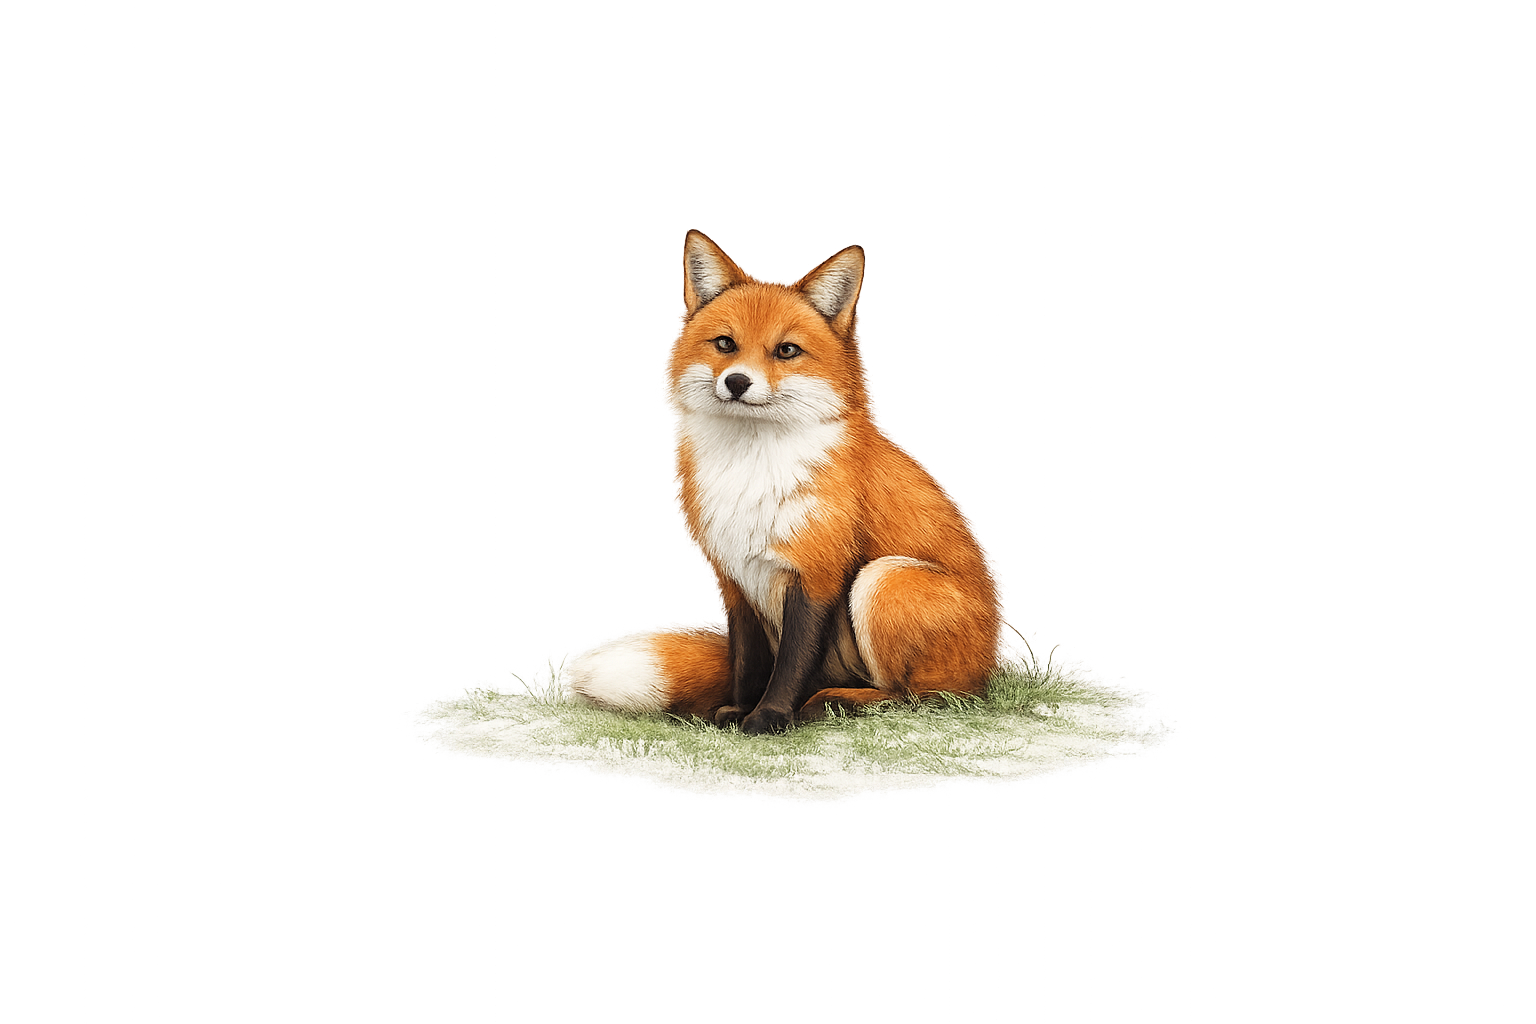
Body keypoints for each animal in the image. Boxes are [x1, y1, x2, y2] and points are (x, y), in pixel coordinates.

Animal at [566, 230, 999, 735]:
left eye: (786, 350)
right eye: (725, 344)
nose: (737, 382)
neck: (750, 471)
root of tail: (987, 670)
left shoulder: (817, 573)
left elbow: (792, 661)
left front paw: (769, 717)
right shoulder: (734, 576)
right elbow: (748, 659)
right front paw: (738, 710)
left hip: (885, 580)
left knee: (914, 697)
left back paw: (834, 702)